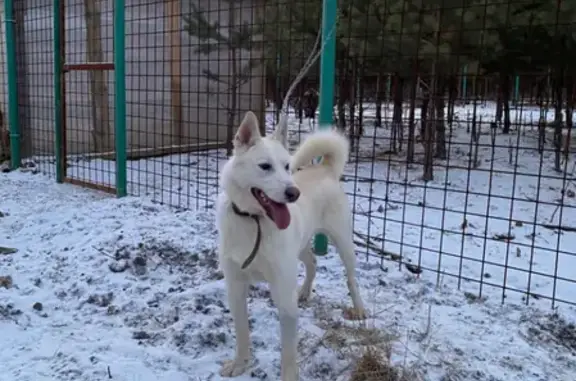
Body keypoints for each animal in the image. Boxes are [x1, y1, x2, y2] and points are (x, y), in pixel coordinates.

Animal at [214, 110, 366, 380]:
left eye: (286, 166)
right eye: (265, 166)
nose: (294, 193)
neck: (254, 221)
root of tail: (325, 168)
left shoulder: (283, 295)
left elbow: (288, 351)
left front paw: (288, 375)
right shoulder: (235, 287)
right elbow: (242, 332)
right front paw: (240, 364)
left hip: (343, 243)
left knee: (351, 278)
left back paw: (358, 308)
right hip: (301, 247)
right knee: (313, 262)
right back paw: (304, 292)